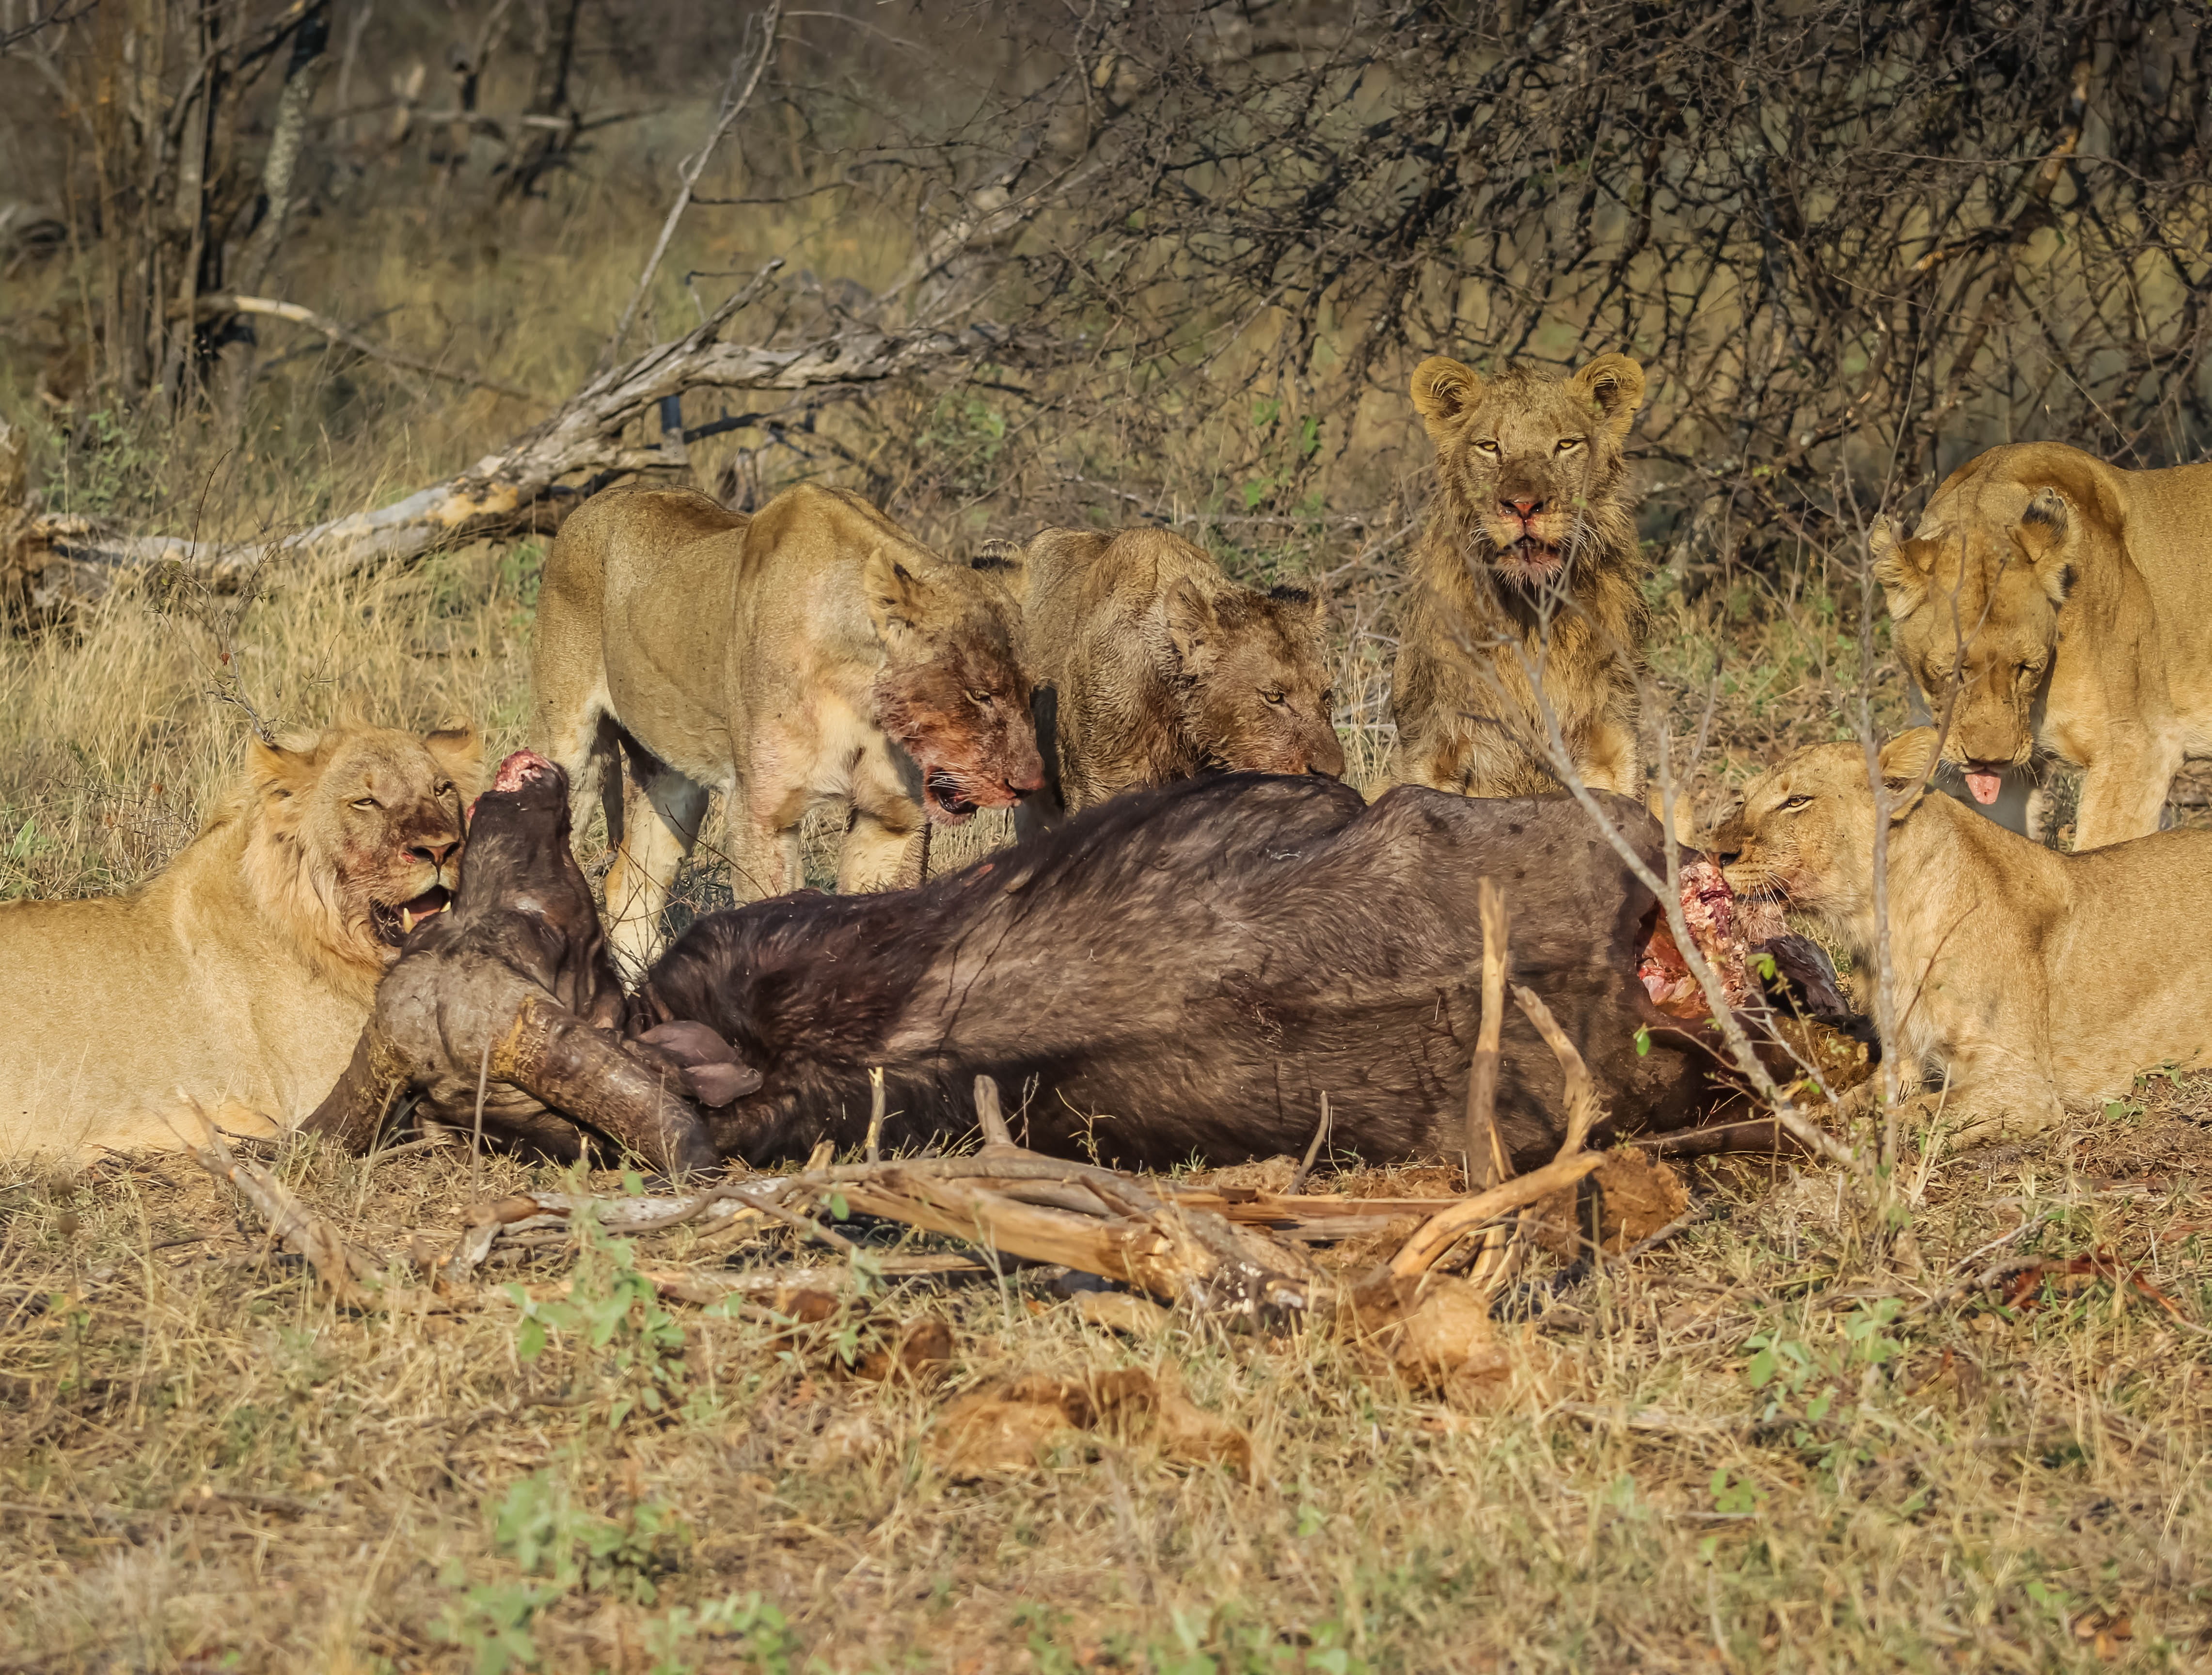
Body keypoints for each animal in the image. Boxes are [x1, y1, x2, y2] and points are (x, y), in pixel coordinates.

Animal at [533, 482, 1044, 967]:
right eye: (979, 693)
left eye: (1030, 691)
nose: (1030, 786)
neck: (859, 690)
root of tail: (597, 500)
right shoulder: (763, 815)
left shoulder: (893, 819)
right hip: (574, 752)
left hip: (673, 780)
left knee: (629, 886)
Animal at [1390, 352, 1650, 798]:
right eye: (1490, 447)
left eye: (1566, 445)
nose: (1524, 506)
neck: (1529, 609)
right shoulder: (1433, 746)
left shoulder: (1611, 742)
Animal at [1711, 728, 2212, 1142]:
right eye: (1741, 800)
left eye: (1797, 801)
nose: (1716, 853)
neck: (1881, 926)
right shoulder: (1905, 1060)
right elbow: (1852, 1102)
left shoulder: (2023, 1086)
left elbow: (1902, 1118)